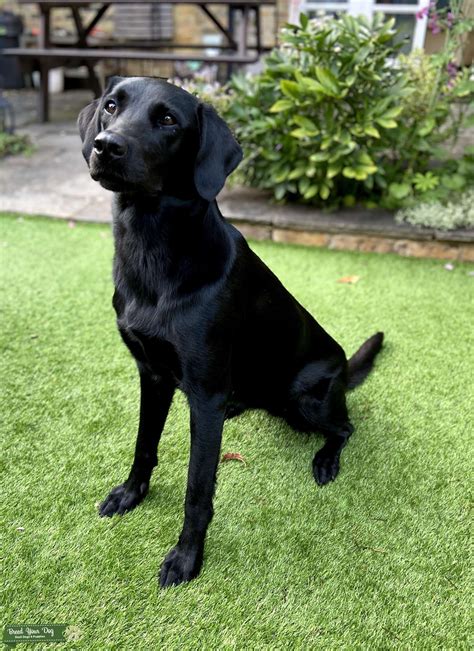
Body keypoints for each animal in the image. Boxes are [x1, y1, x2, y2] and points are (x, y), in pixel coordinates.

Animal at [77, 77, 382, 592]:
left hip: (309, 399)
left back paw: (326, 459)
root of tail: (342, 369)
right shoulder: (152, 375)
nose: (106, 145)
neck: (153, 248)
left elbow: (197, 489)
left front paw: (186, 558)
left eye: (167, 120)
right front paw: (130, 494)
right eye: (112, 106)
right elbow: (144, 445)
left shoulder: (203, 395)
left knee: (345, 428)